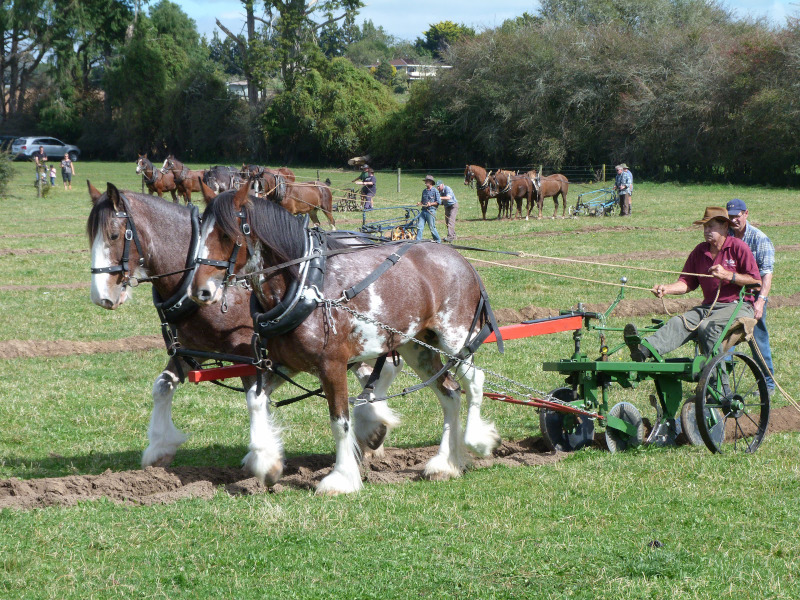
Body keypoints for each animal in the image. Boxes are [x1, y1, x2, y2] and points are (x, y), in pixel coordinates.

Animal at [87, 181, 401, 474]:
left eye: (114, 235)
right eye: (90, 235)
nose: (102, 296)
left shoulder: (249, 350)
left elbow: (255, 395)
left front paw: (262, 456)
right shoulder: (194, 348)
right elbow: (162, 386)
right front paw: (159, 448)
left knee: (380, 369)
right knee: (375, 371)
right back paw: (373, 431)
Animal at [190, 182, 503, 494]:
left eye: (226, 234)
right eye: (201, 231)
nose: (200, 291)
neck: (306, 285)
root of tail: (461, 259)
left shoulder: (332, 365)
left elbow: (339, 421)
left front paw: (341, 478)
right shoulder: (285, 363)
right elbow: (255, 401)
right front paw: (266, 462)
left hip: (455, 339)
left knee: (474, 382)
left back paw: (477, 440)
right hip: (417, 346)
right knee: (450, 393)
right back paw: (445, 464)